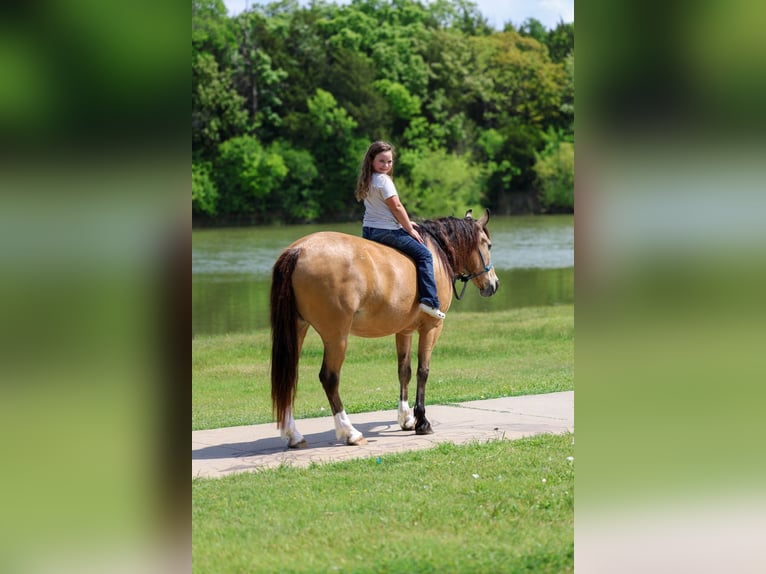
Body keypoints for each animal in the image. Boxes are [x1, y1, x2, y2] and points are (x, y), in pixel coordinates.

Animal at [270, 209, 499, 448]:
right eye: (489, 245)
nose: (494, 284)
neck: (437, 252)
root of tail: (298, 250)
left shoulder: (404, 331)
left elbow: (404, 371)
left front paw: (406, 418)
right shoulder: (431, 327)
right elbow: (423, 371)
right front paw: (422, 421)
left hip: (297, 329)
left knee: (288, 376)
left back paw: (293, 434)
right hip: (336, 336)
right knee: (329, 378)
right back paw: (349, 431)